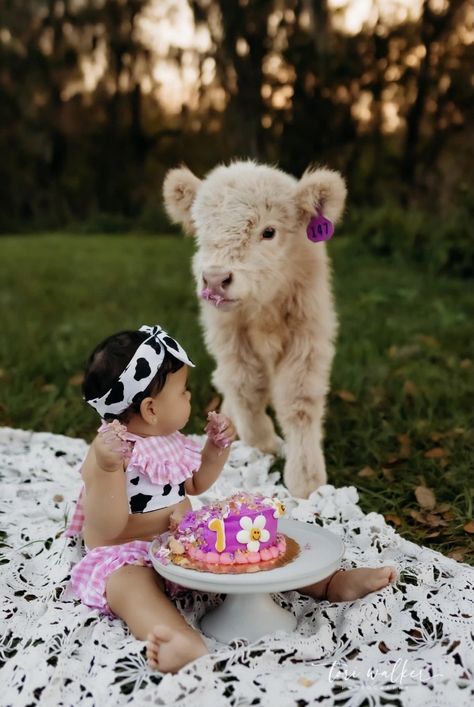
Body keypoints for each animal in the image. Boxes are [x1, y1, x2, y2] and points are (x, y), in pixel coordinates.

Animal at [165, 160, 346, 498]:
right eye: (202, 231)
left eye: (269, 231)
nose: (215, 279)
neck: (264, 309)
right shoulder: (230, 339)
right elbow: (246, 387)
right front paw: (265, 444)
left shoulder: (307, 337)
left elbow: (299, 402)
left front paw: (306, 480)